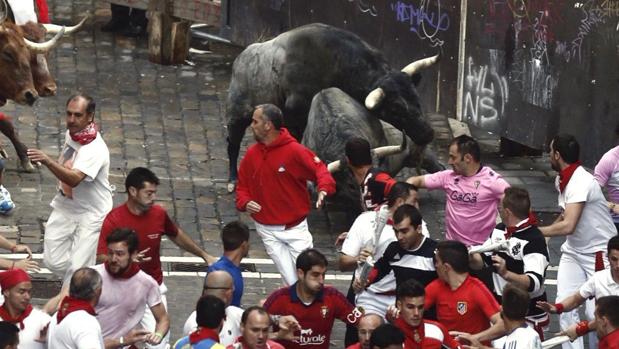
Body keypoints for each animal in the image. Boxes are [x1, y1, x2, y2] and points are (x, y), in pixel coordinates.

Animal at [228, 22, 440, 188]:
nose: (427, 133)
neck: (337, 64)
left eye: (416, 97)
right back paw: (232, 179)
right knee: (233, 142)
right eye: (395, 108)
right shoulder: (295, 118)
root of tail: (240, 58)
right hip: (237, 115)